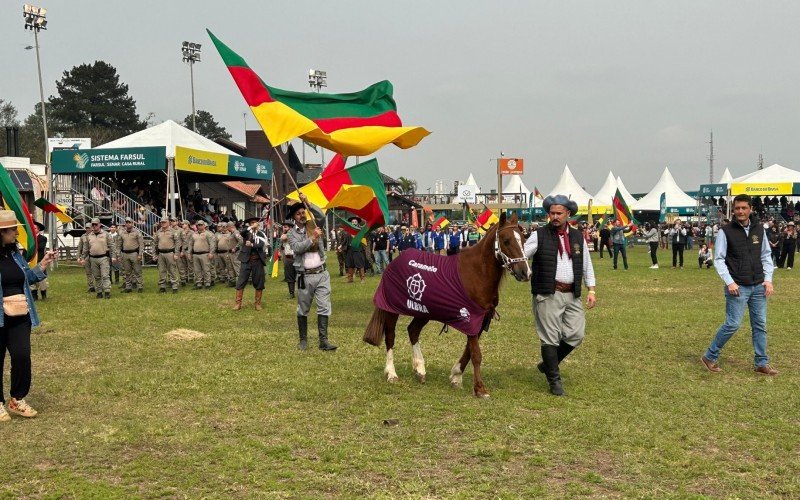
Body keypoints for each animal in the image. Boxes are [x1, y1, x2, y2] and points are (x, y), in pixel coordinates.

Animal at [364, 211, 532, 398]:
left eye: (523, 239)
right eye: (506, 240)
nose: (525, 272)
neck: (477, 274)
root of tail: (393, 263)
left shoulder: (480, 321)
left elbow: (468, 351)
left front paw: (456, 377)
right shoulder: (470, 318)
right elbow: (476, 354)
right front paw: (480, 389)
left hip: (424, 311)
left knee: (413, 330)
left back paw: (420, 369)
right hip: (392, 309)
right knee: (390, 336)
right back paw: (392, 373)